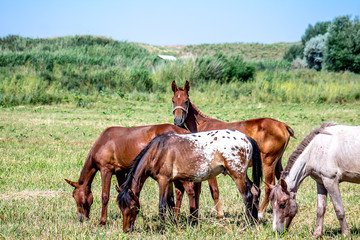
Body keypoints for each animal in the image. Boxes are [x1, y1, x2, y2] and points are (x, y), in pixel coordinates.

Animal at [117, 129, 262, 232]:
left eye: (133, 208)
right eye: (121, 208)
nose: (126, 230)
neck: (158, 151)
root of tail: (247, 138)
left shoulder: (163, 180)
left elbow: (162, 206)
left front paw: (162, 228)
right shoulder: (171, 181)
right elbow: (171, 203)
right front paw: (172, 223)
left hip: (237, 175)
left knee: (247, 196)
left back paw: (247, 224)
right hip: (242, 175)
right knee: (255, 191)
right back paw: (254, 222)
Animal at [172, 79, 296, 218]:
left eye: (186, 100)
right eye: (173, 100)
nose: (178, 121)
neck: (203, 125)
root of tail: (283, 125)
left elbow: (214, 190)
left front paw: (220, 215)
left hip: (268, 163)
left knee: (269, 187)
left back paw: (260, 212)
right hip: (277, 162)